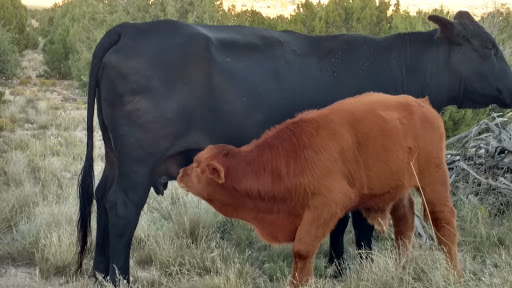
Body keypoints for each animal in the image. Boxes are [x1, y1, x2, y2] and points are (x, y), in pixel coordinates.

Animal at [178, 91, 462, 286]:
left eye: (198, 165)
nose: (180, 174)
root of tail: (422, 104)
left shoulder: (326, 205)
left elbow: (302, 250)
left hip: (433, 179)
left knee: (443, 222)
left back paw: (453, 274)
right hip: (399, 187)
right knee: (404, 224)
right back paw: (402, 269)